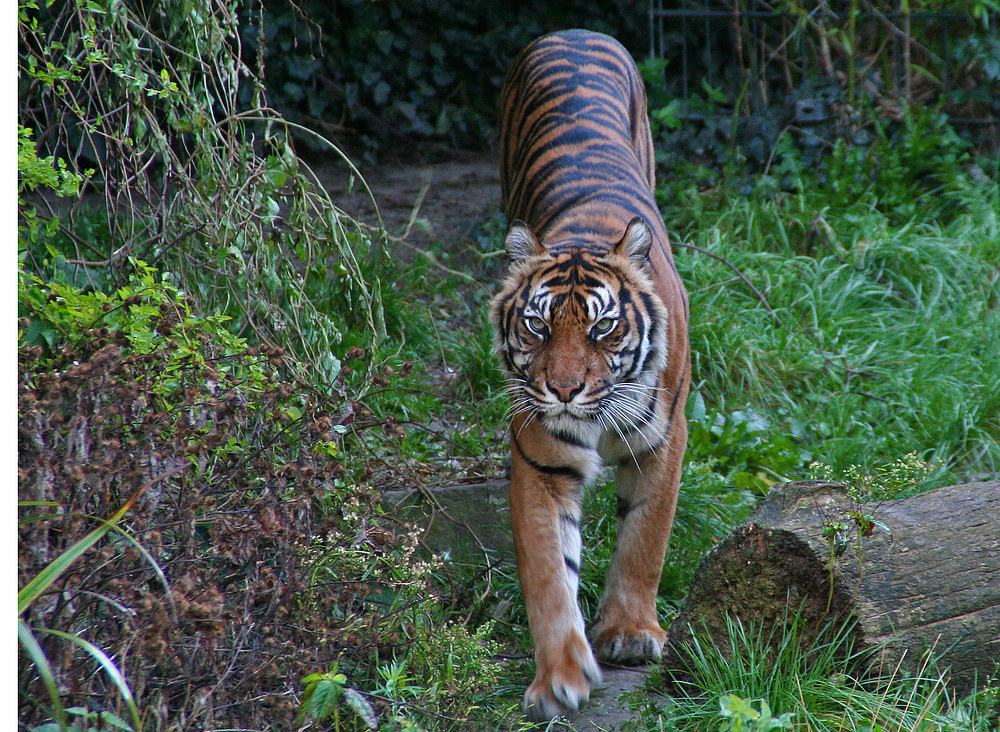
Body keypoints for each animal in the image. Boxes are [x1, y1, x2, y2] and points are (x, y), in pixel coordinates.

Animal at [488, 28, 692, 720]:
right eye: (537, 325)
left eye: (603, 327)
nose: (564, 389)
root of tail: (571, 31)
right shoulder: (540, 459)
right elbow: (550, 572)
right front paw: (558, 678)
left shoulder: (664, 438)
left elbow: (645, 538)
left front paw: (628, 632)